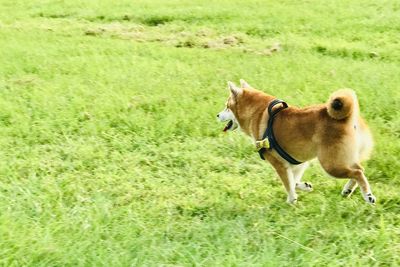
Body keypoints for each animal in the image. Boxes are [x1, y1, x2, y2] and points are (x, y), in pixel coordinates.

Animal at [216, 80, 376, 205]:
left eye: (227, 106)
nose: (217, 115)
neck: (258, 112)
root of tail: (347, 118)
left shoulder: (279, 164)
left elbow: (289, 184)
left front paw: (291, 200)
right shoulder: (298, 162)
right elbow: (294, 182)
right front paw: (304, 186)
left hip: (331, 164)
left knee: (357, 173)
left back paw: (368, 196)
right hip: (344, 158)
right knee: (360, 169)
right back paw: (348, 190)